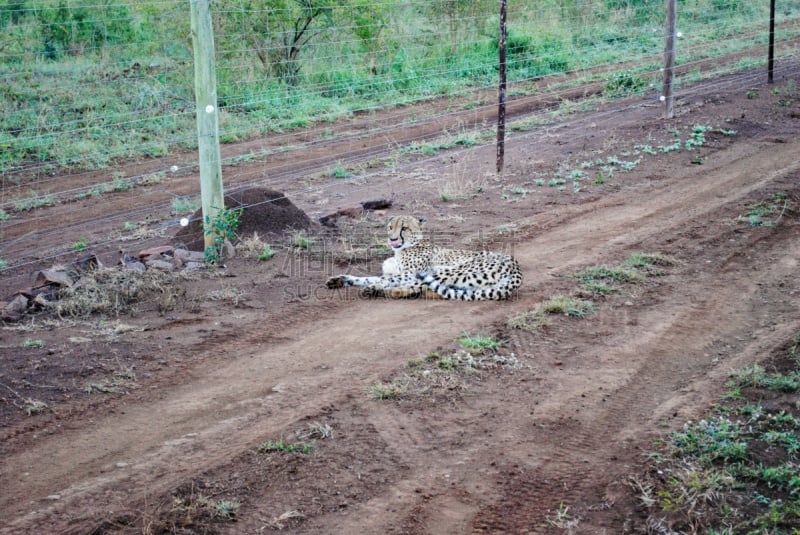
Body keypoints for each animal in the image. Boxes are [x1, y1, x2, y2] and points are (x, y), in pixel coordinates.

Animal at [326, 217, 524, 302]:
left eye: (404, 228)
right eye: (390, 227)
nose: (392, 239)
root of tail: (515, 265)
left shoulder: (411, 273)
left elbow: (385, 279)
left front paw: (370, 284)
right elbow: (373, 277)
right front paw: (341, 279)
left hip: (449, 271)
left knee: (417, 287)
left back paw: (378, 291)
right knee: (429, 290)